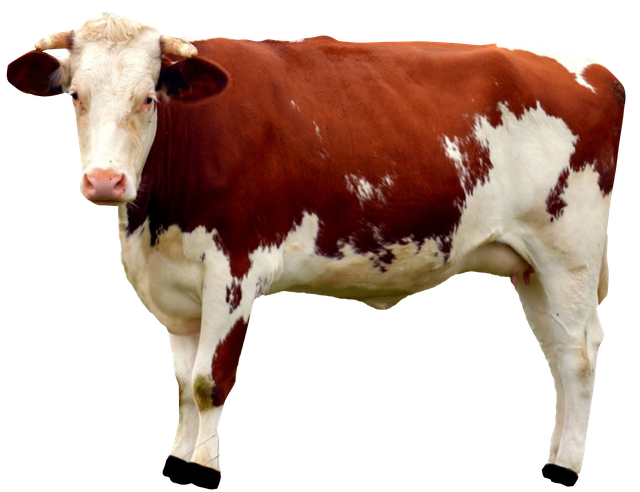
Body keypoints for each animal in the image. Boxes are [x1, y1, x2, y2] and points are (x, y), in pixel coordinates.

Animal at [6, 12, 626, 487]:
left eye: (147, 98)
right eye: (76, 96)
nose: (105, 181)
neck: (155, 223)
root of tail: (592, 67)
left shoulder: (235, 269)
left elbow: (209, 384)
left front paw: (204, 468)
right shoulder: (175, 285)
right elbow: (183, 386)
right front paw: (180, 459)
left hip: (568, 251)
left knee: (578, 355)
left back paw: (565, 469)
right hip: (531, 266)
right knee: (558, 354)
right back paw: (556, 456)